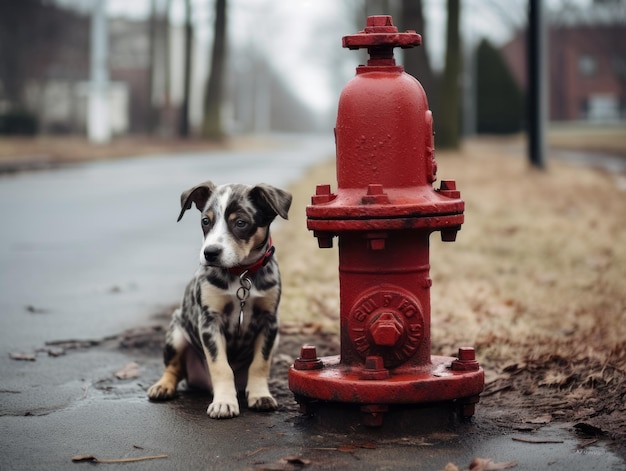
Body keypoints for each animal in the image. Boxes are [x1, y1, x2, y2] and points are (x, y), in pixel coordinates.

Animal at [147, 182, 292, 420]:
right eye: (206, 221)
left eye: (241, 222)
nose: (210, 253)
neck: (242, 273)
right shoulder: (209, 321)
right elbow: (221, 366)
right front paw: (224, 402)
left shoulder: (269, 321)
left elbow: (260, 363)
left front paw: (261, 395)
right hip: (176, 334)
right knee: (173, 368)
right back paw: (163, 386)